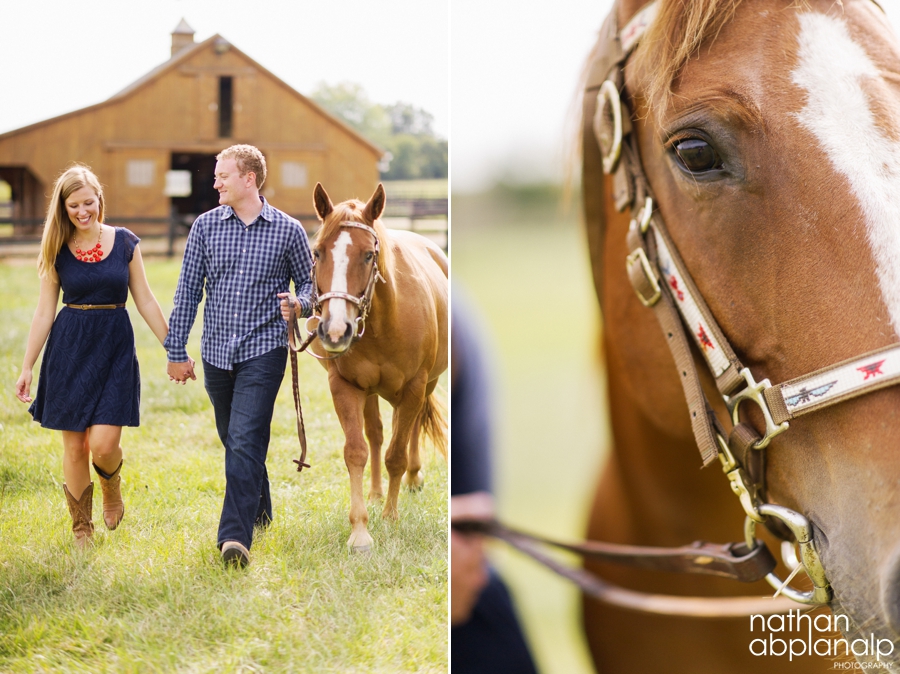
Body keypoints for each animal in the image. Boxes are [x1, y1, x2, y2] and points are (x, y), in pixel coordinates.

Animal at [308, 181, 448, 548]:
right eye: (317, 253)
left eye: (368, 255)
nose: (335, 330)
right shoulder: (345, 386)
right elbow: (356, 451)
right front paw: (360, 530)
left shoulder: (414, 387)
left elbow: (396, 455)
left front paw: (390, 516)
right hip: (370, 392)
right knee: (375, 434)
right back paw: (375, 492)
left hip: (425, 385)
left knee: (411, 429)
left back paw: (412, 479)